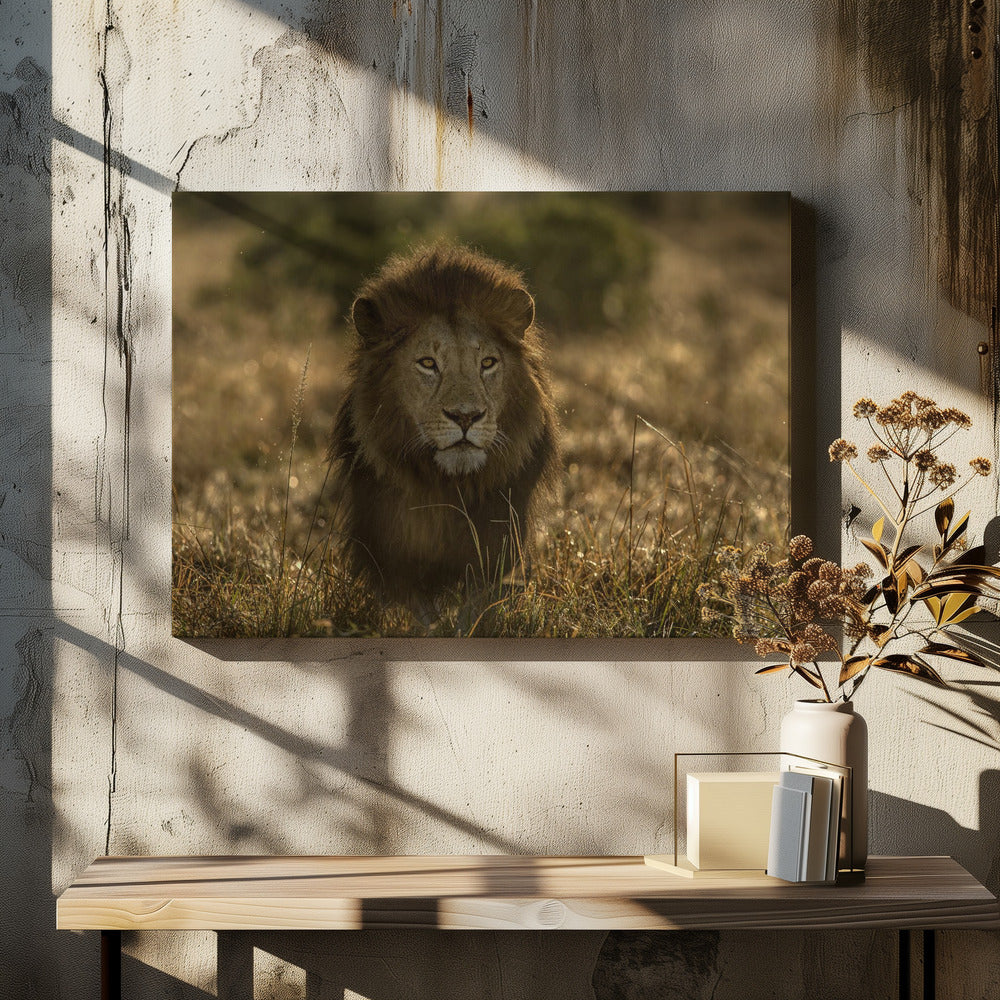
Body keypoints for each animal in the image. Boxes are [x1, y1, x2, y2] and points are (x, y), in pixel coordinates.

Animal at [328, 243, 561, 619]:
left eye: (487, 363)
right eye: (428, 363)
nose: (465, 416)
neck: (450, 485)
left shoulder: (496, 533)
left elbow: (476, 602)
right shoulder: (392, 541)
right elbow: (420, 609)